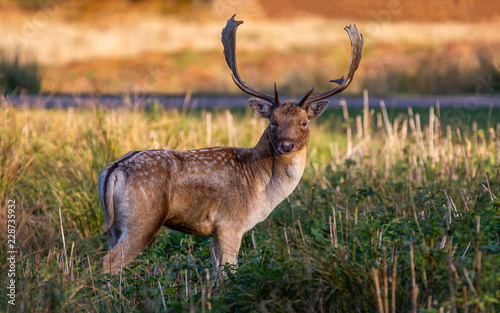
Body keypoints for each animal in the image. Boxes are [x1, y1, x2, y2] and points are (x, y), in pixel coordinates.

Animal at [97, 14, 364, 272]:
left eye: (304, 122)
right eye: (273, 121)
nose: (286, 145)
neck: (260, 186)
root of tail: (114, 169)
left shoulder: (214, 233)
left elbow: (216, 274)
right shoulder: (230, 224)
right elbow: (229, 272)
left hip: (113, 225)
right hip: (143, 219)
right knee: (109, 263)